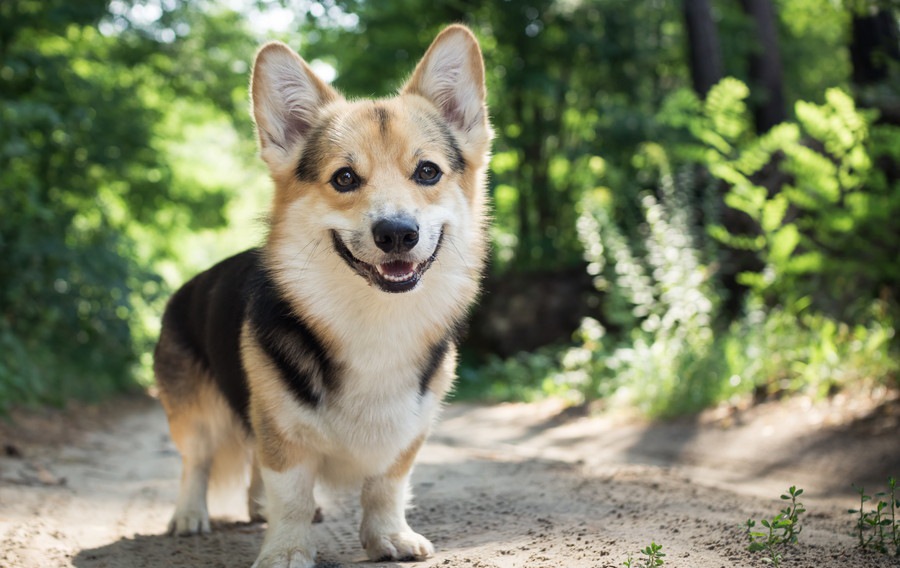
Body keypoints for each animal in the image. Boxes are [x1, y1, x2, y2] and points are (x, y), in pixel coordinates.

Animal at [155, 23, 492, 568]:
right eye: (345, 178)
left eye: (427, 172)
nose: (397, 233)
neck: (374, 320)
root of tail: (190, 283)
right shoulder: (282, 431)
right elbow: (290, 491)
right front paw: (287, 549)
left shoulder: (409, 433)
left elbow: (385, 487)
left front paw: (389, 537)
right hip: (194, 414)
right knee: (198, 462)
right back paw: (189, 516)